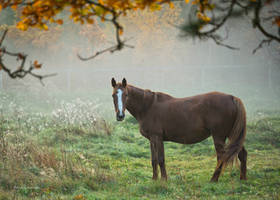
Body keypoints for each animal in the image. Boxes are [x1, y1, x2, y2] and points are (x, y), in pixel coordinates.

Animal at [111, 79, 247, 182]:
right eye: (113, 95)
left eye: (126, 95)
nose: (120, 116)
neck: (148, 106)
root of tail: (232, 97)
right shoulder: (151, 140)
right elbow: (154, 160)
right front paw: (154, 179)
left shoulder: (157, 137)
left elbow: (161, 159)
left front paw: (164, 180)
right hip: (232, 135)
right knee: (242, 154)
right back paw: (242, 179)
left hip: (219, 136)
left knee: (221, 156)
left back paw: (213, 179)